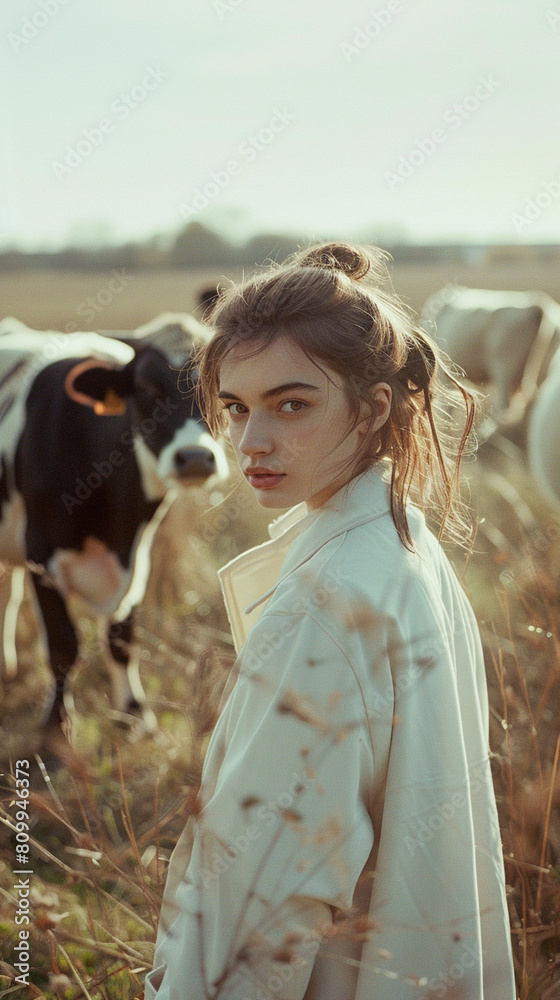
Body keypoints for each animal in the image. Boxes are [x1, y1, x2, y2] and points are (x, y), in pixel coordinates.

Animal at [0, 312, 228, 756]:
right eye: (145, 387)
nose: (195, 458)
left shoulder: (137, 557)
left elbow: (123, 640)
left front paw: (137, 719)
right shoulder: (41, 554)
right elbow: (63, 645)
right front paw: (56, 732)